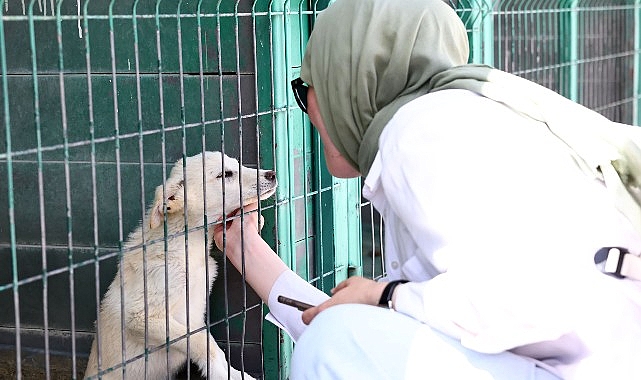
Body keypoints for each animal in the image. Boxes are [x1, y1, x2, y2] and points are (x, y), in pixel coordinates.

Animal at [84, 152, 276, 380]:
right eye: (225, 174)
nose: (272, 174)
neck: (187, 246)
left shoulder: (194, 316)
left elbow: (208, 342)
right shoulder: (141, 316)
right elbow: (202, 343)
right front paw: (225, 374)